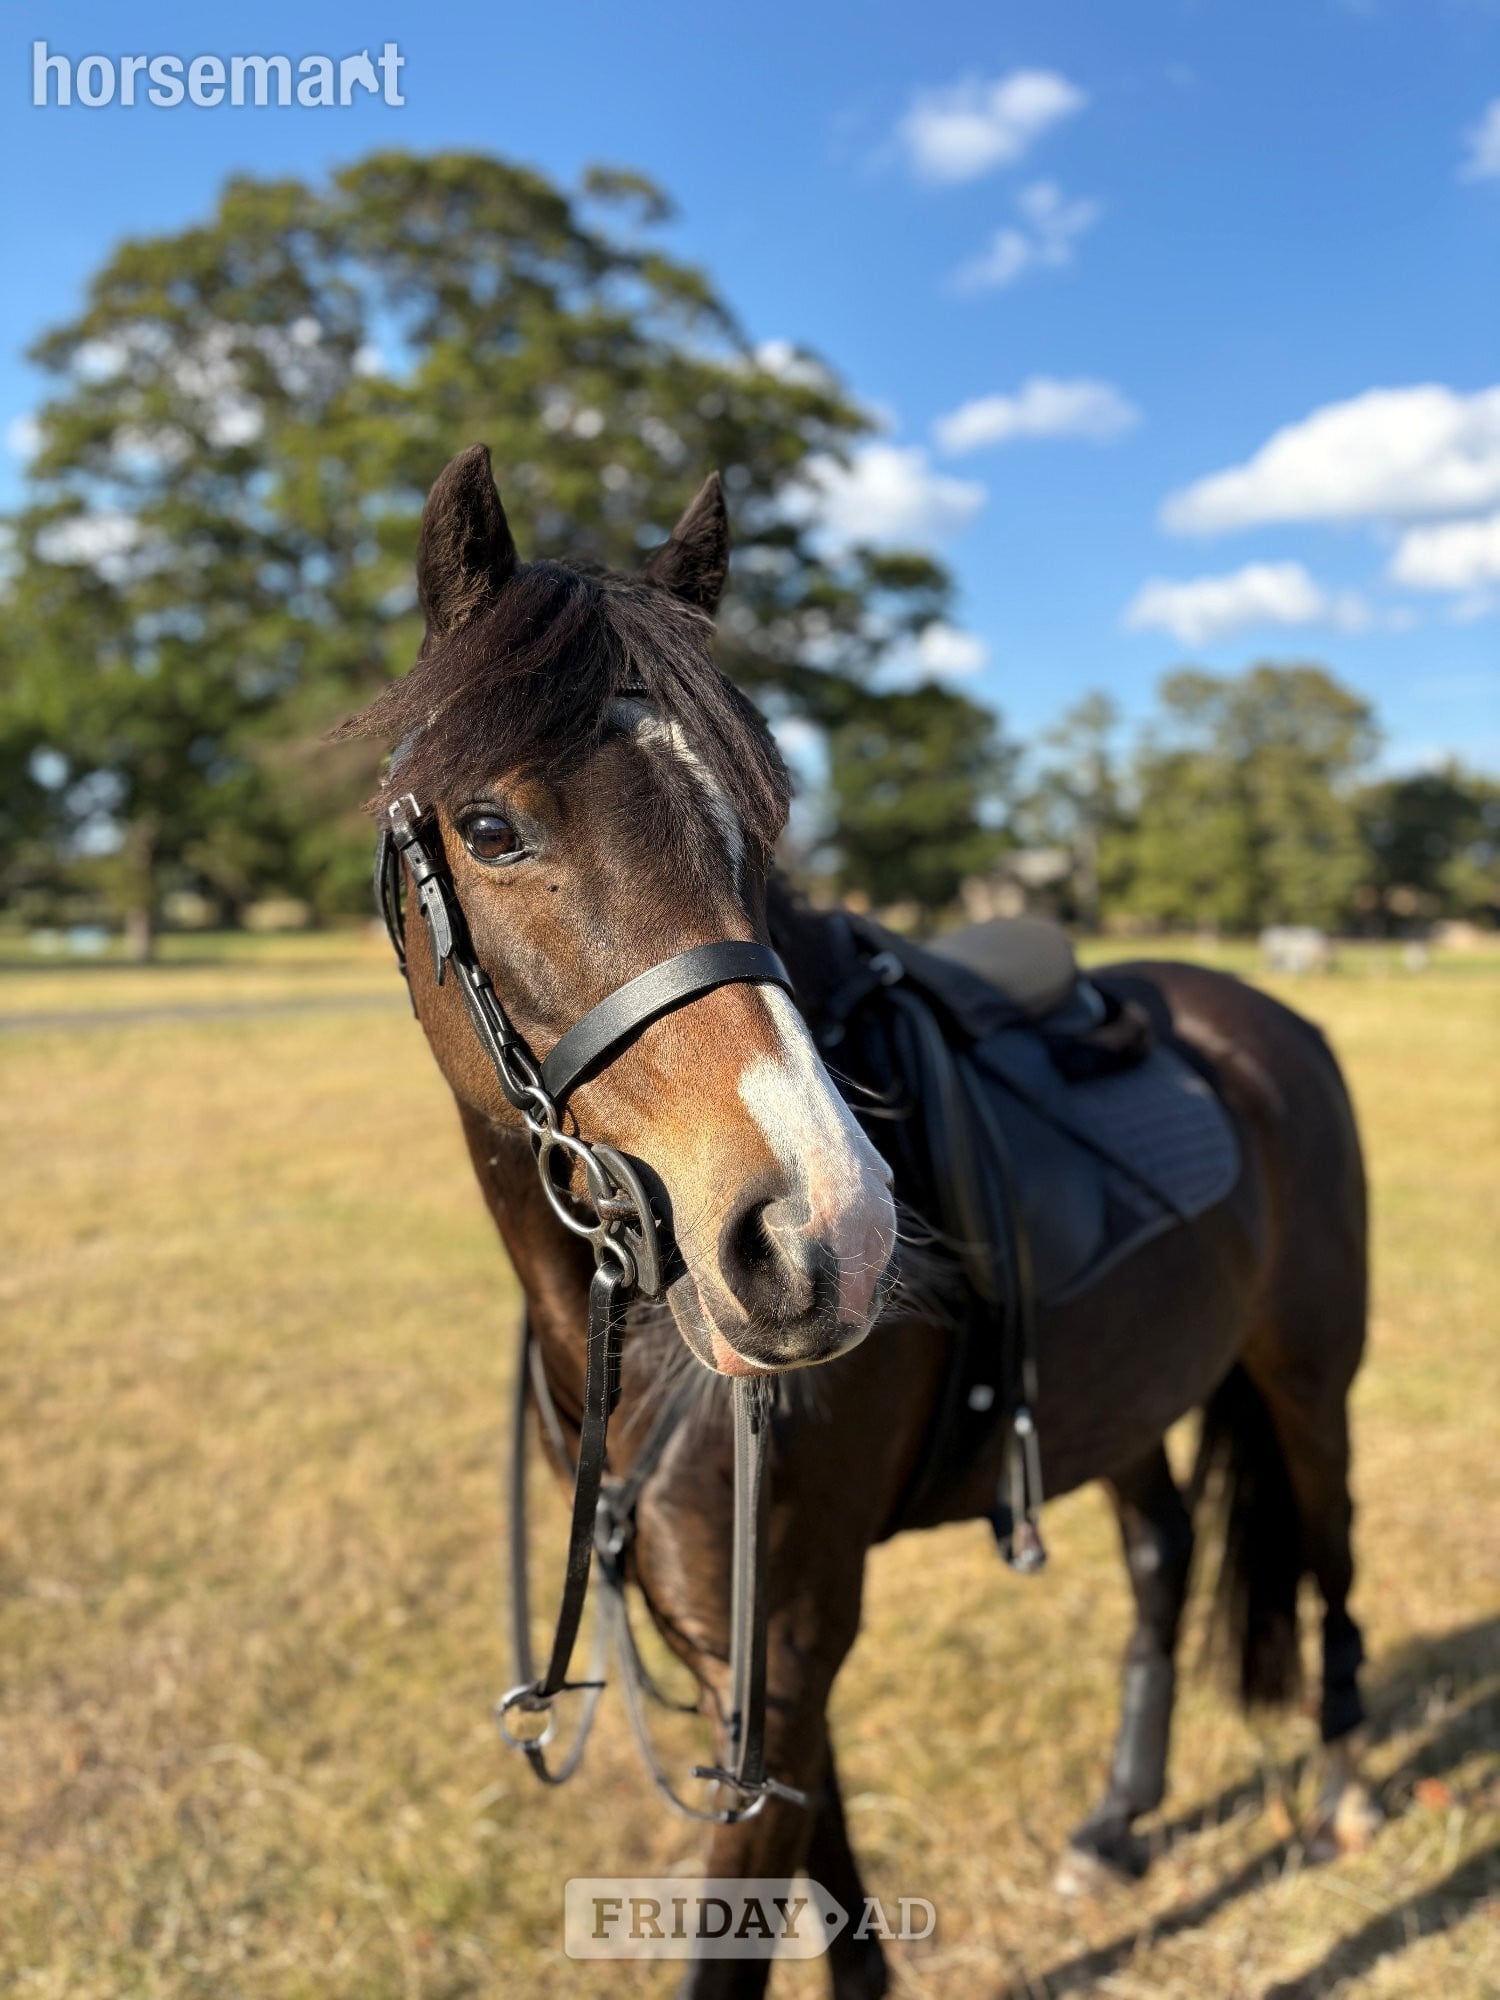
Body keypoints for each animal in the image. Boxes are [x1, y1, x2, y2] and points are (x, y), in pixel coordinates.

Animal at [340, 444, 1379, 1998]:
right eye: (488, 827)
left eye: (757, 833)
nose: (818, 1238)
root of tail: (1270, 1018)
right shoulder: (759, 1663)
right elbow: (832, 1896)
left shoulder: (785, 1645)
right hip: (1129, 1393)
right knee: (1163, 1550)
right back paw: (1119, 1821)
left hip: (1309, 1379)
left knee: (1330, 1556)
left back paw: (1344, 1789)